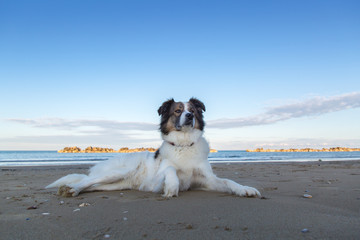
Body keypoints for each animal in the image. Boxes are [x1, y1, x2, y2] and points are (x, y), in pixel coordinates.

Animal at [47, 98, 262, 198]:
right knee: (86, 181)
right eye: (178, 111)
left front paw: (245, 189)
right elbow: (171, 171)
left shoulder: (207, 180)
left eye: (192, 111)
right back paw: (72, 189)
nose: (190, 116)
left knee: (93, 186)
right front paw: (172, 188)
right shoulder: (159, 178)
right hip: (119, 171)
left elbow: (228, 181)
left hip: (116, 184)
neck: (184, 144)